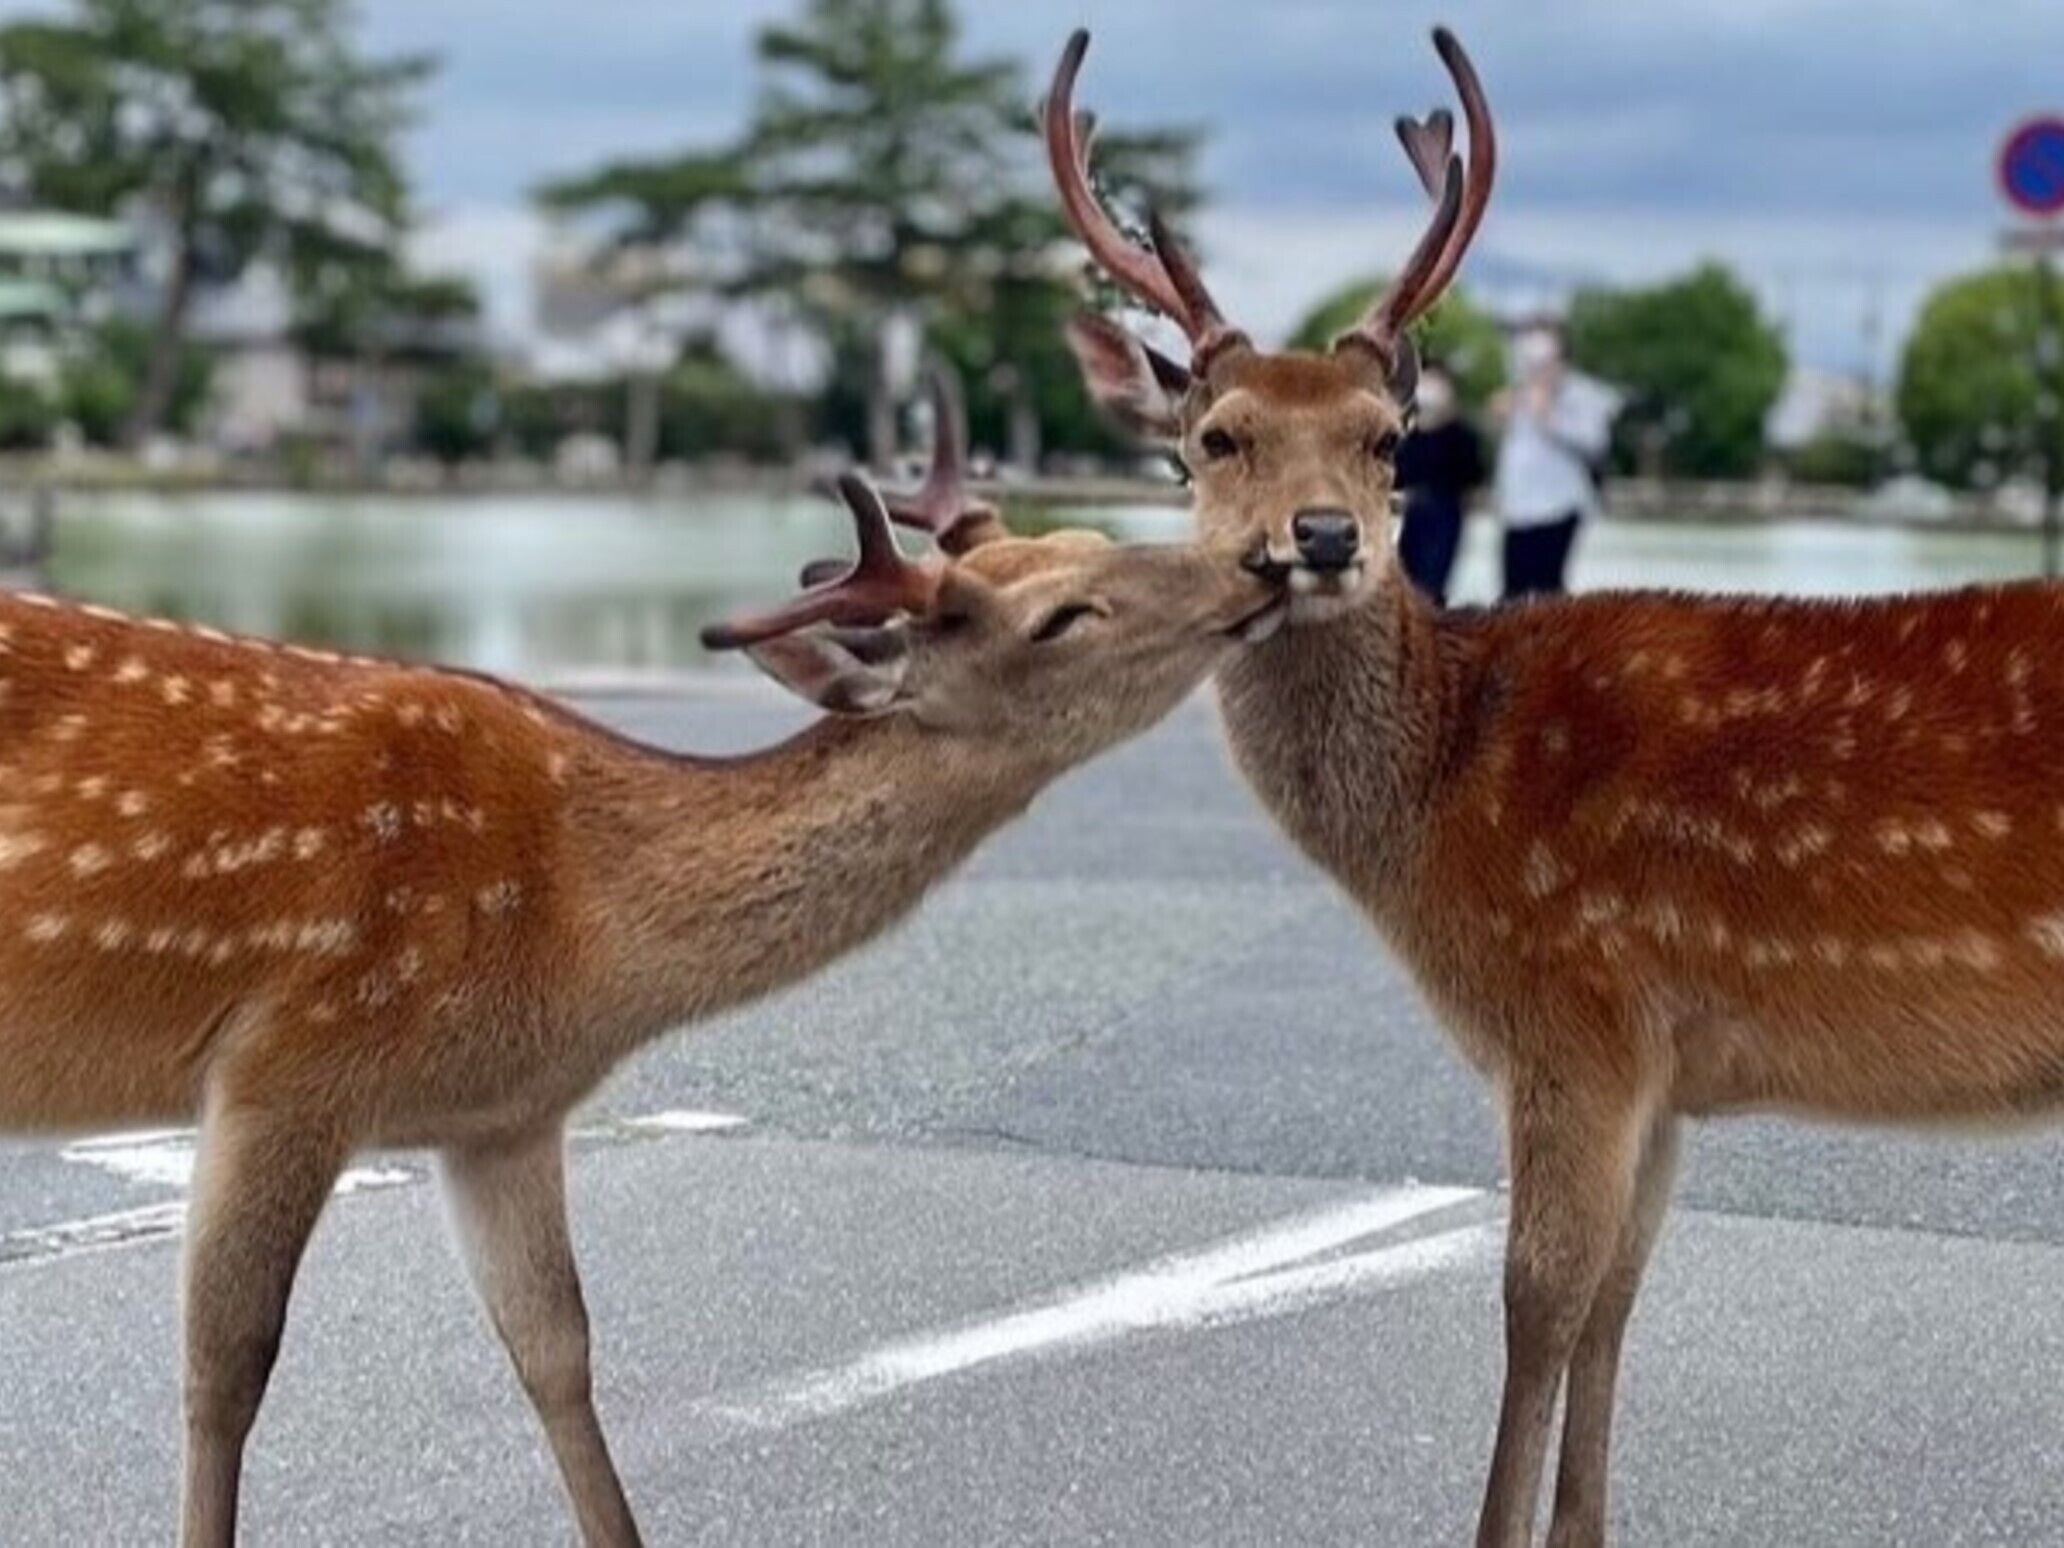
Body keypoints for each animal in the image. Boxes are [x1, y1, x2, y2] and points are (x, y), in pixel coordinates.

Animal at [0, 373, 1283, 1548]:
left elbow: (557, 1351)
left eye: (1087, 540)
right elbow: (226, 1376)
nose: (1262, 566)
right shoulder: (285, 1061)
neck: (579, 943)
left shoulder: (504, 1117)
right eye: (1064, 615)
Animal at [1045, 23, 2064, 1548]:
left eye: (1385, 437)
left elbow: (1536, 1305)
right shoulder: (1661, 1070)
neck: (1441, 810)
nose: (1324, 538)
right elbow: (1614, 1303)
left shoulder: (1575, 1007)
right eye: (1215, 435)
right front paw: (1582, 1524)